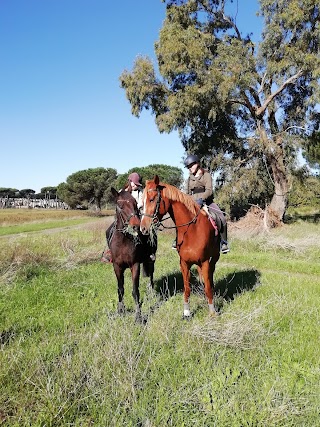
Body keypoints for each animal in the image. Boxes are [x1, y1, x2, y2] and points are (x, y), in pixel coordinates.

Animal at [108, 189, 157, 322]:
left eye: (135, 204)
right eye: (120, 206)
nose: (136, 226)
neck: (123, 241)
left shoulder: (134, 265)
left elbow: (135, 291)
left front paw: (138, 316)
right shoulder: (117, 266)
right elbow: (120, 290)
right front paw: (120, 310)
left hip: (151, 260)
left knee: (151, 276)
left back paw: (151, 292)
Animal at [140, 176, 220, 320]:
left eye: (152, 199)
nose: (143, 228)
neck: (191, 230)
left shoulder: (205, 261)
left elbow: (208, 287)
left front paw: (212, 311)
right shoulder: (184, 263)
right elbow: (187, 288)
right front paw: (186, 312)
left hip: (214, 257)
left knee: (210, 276)